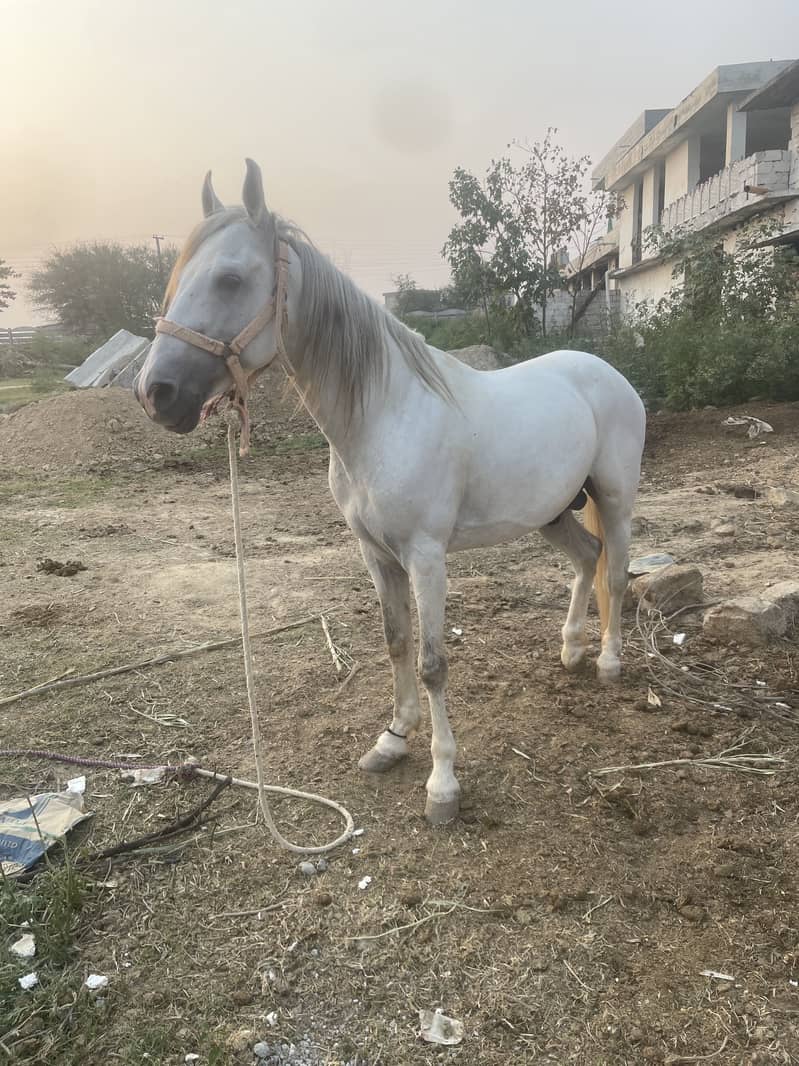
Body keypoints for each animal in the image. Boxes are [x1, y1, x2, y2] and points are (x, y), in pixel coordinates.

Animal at [134, 159, 646, 825]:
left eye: (230, 278)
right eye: (177, 280)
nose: (157, 392)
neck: (383, 414)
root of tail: (606, 373)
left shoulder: (425, 557)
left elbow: (432, 664)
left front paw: (443, 784)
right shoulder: (376, 555)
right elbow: (396, 642)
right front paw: (393, 740)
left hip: (613, 498)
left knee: (616, 572)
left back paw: (608, 662)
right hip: (552, 511)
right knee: (588, 560)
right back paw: (572, 651)